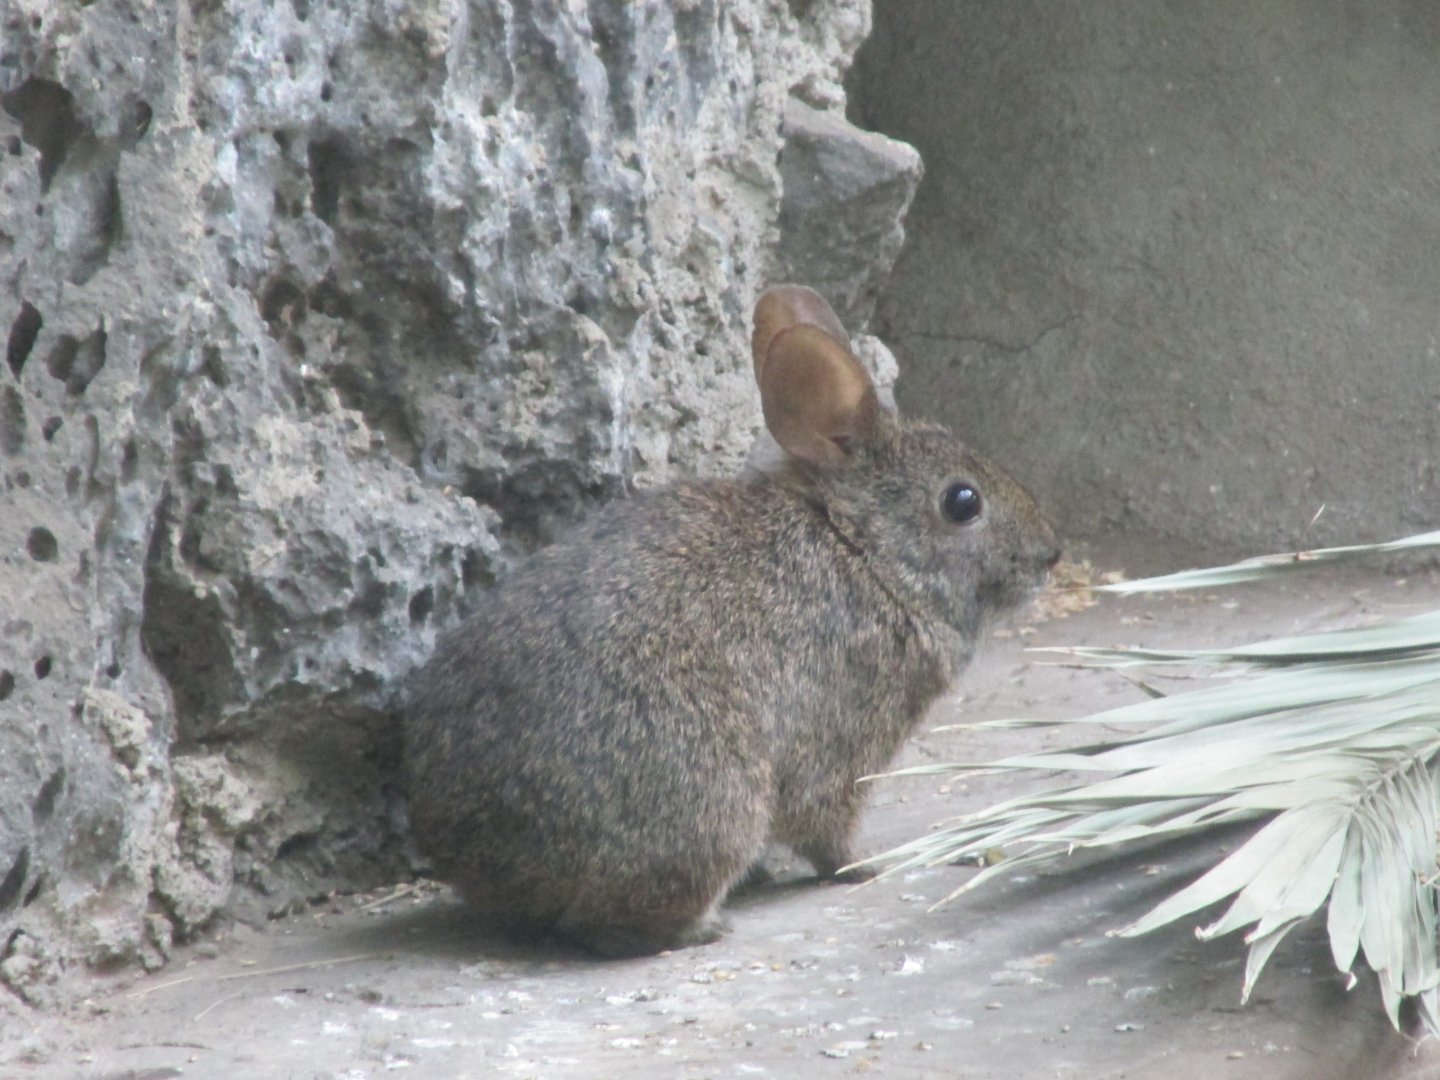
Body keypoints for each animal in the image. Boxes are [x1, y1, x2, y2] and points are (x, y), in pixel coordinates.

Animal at [403, 285, 1059, 958]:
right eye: (962, 502)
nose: (1050, 554)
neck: (862, 549)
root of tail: (481, 843)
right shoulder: (844, 737)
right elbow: (827, 825)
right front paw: (859, 867)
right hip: (715, 804)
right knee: (609, 925)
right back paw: (704, 926)